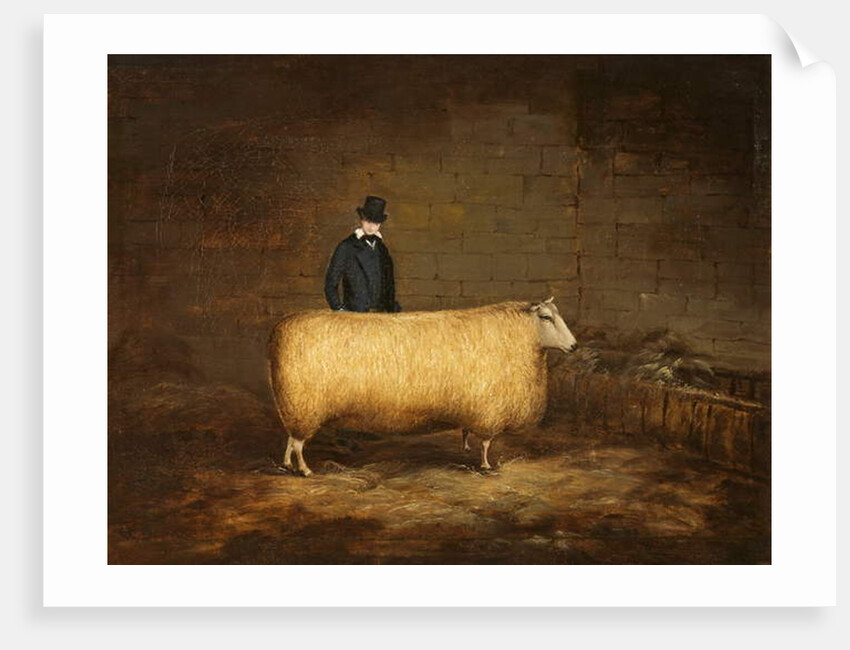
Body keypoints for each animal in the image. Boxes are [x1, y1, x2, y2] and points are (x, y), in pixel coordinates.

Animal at [267, 298, 577, 476]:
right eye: (546, 317)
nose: (574, 346)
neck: (524, 337)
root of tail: (280, 329)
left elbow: (469, 434)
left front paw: (466, 447)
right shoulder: (489, 409)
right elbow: (487, 443)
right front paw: (486, 465)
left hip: (293, 405)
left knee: (290, 439)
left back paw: (287, 465)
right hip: (304, 403)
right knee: (298, 443)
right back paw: (305, 469)